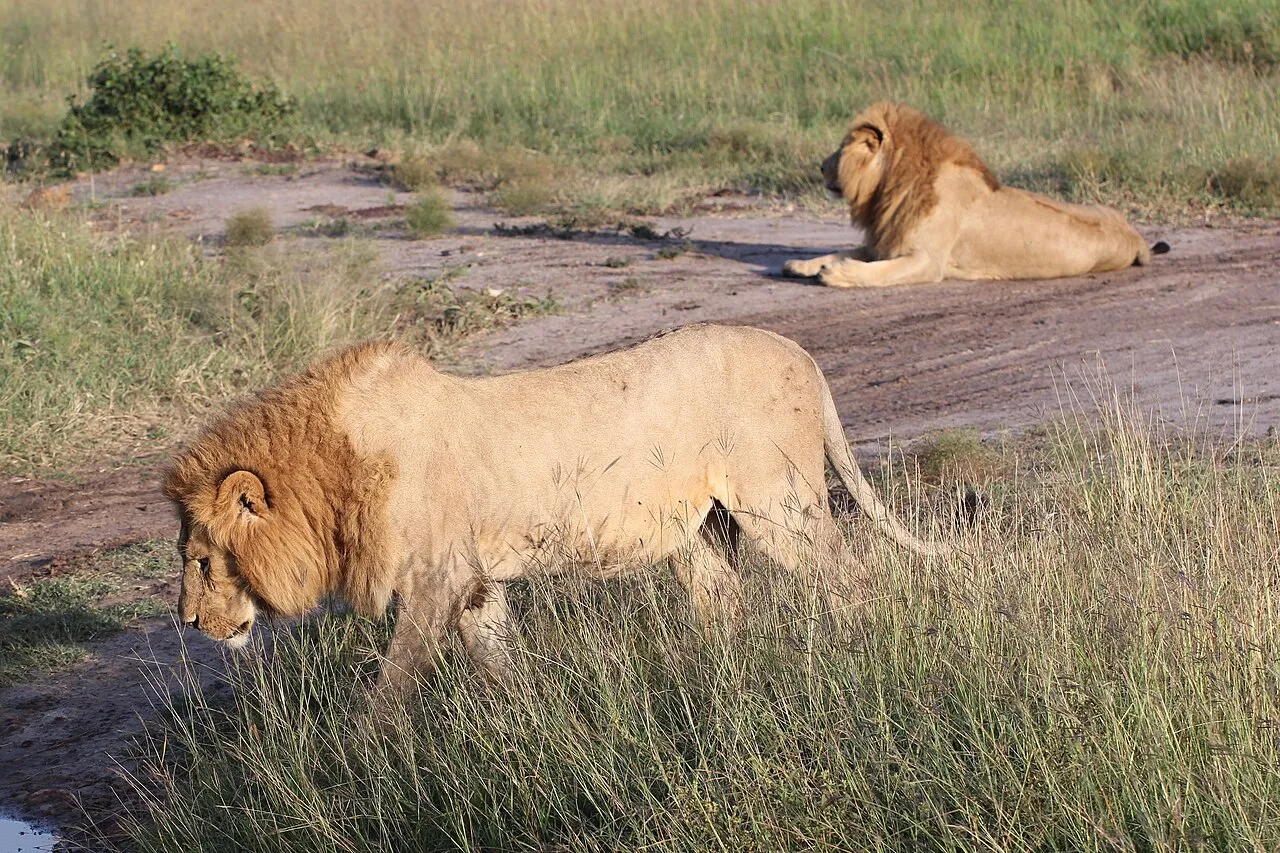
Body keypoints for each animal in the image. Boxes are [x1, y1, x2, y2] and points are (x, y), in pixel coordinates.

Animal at [164, 324, 949, 692]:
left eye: (200, 560)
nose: (190, 623)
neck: (331, 482)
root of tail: (805, 355)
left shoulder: (435, 577)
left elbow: (392, 687)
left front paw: (367, 765)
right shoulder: (473, 583)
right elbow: (499, 663)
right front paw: (524, 718)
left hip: (778, 503)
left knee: (852, 578)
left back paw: (857, 650)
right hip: (694, 530)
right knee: (725, 600)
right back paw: (715, 674)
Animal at [783, 102, 1168, 288]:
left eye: (841, 148)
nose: (820, 166)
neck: (892, 186)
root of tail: (1134, 235)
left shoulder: (927, 260)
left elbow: (874, 272)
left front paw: (837, 275)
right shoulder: (886, 240)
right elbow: (844, 251)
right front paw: (802, 264)